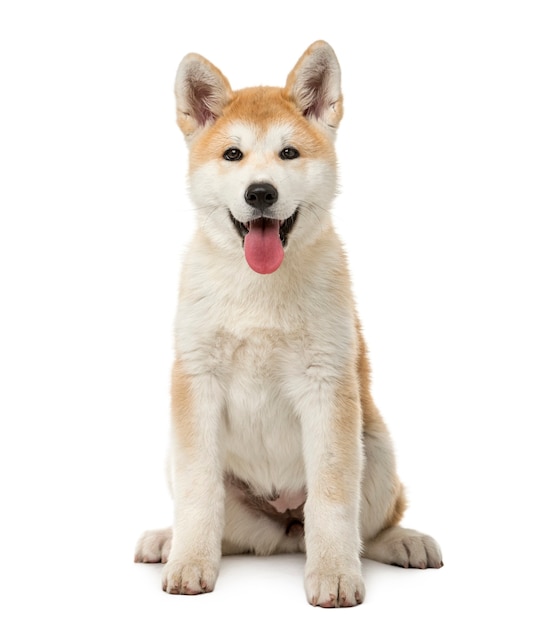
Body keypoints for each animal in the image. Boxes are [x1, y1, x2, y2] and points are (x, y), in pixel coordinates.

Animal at [135, 39, 442, 604]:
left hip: (375, 446)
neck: (259, 286)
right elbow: (197, 492)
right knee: (230, 531)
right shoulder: (196, 382)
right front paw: (190, 563)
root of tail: (282, 527)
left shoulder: (326, 386)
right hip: (187, 462)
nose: (260, 193)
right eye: (233, 155)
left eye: (289, 154)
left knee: (369, 525)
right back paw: (168, 540)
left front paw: (335, 574)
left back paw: (402, 542)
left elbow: (332, 498)